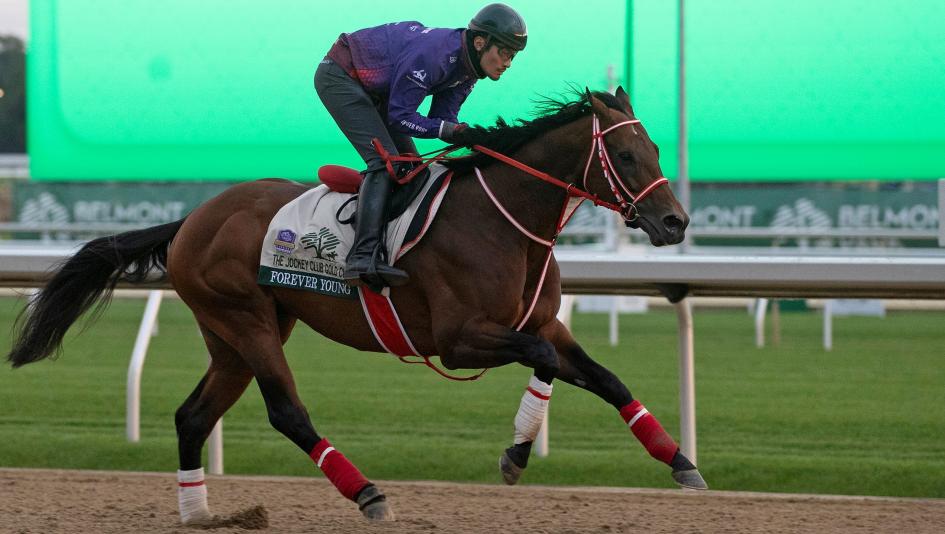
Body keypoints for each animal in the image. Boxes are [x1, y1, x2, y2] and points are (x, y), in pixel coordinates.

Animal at [7, 86, 704, 524]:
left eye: (656, 151)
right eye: (624, 154)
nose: (675, 222)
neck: (503, 223)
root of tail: (192, 219)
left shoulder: (542, 321)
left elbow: (606, 379)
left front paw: (681, 463)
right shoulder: (460, 338)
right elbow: (544, 362)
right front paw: (514, 456)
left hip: (233, 335)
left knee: (191, 417)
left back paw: (199, 512)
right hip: (246, 320)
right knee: (287, 412)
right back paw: (367, 492)